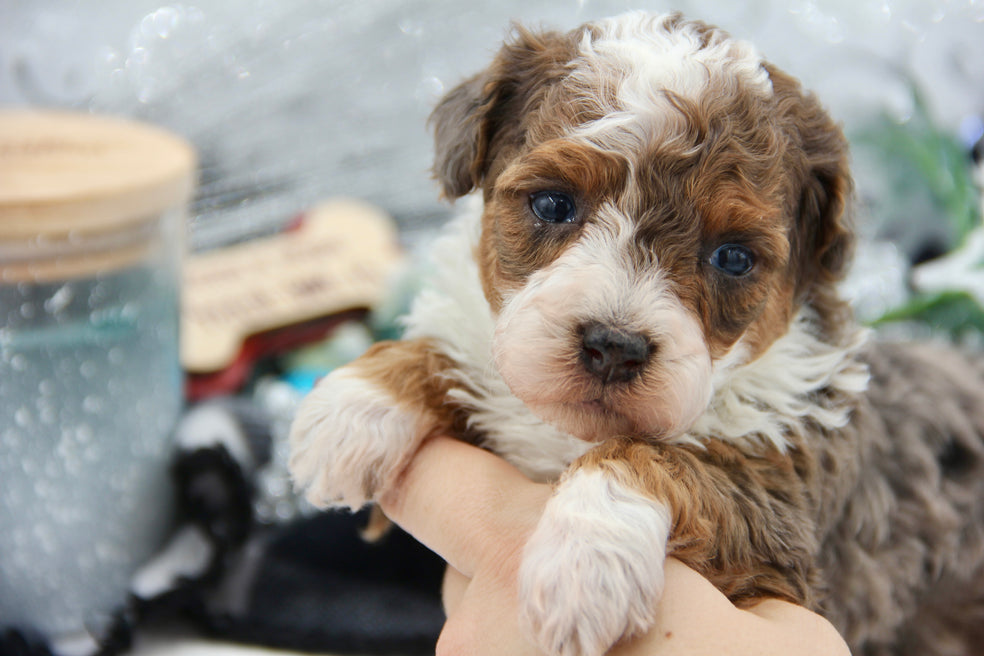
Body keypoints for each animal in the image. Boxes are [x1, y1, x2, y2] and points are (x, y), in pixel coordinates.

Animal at [288, 11, 984, 656]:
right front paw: (360, 403)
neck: (570, 435)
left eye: (733, 257)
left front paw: (585, 559)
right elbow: (460, 353)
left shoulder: (789, 512)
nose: (613, 347)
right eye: (553, 204)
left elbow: (673, 458)